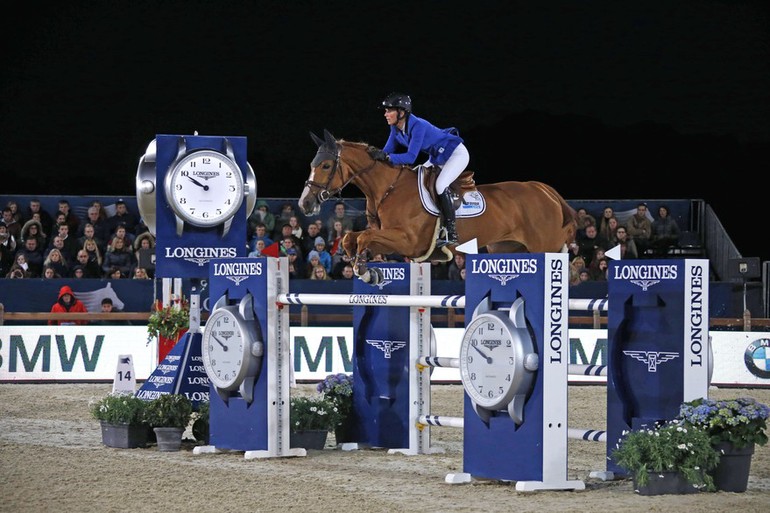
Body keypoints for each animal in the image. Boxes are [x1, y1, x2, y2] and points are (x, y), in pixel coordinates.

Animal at [296, 127, 572, 280]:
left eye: (326, 165)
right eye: (312, 164)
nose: (304, 203)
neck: (388, 189)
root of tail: (546, 191)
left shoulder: (408, 241)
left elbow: (363, 237)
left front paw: (363, 269)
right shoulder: (388, 238)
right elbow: (351, 237)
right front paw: (361, 266)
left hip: (544, 248)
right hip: (507, 249)